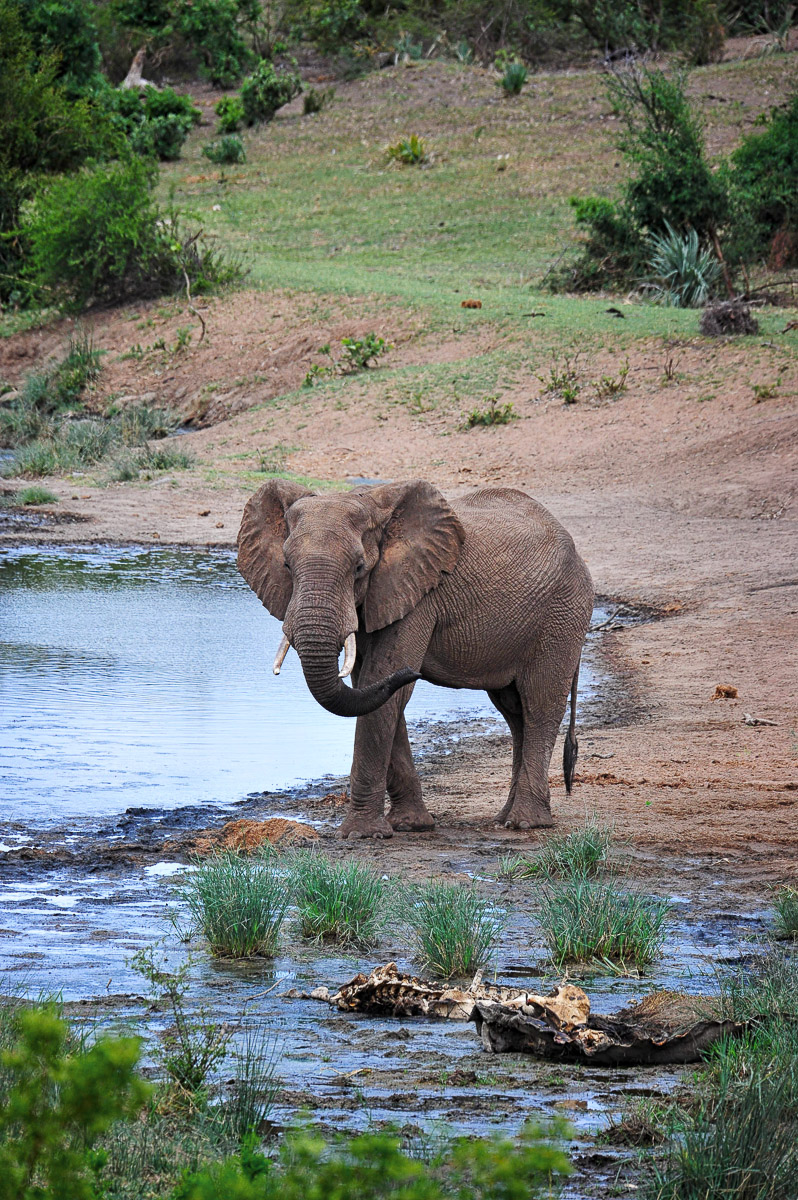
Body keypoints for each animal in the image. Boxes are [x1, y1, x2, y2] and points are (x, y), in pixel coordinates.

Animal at [237, 479, 593, 839]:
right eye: (286, 566)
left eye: (359, 568)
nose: (414, 672)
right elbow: (373, 688)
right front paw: (410, 825)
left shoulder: (419, 595)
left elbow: (380, 679)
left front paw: (361, 834)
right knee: (514, 711)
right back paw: (504, 818)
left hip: (563, 615)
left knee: (539, 705)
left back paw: (525, 822)